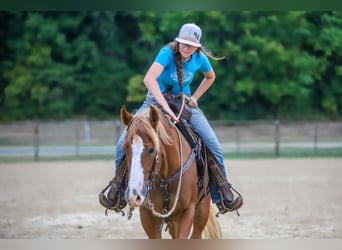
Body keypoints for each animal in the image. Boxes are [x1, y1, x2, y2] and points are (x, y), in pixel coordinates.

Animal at [120, 104, 222, 239]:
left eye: (152, 149)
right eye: (125, 148)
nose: (134, 195)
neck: (165, 179)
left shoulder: (186, 211)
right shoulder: (147, 214)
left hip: (202, 209)